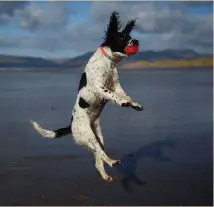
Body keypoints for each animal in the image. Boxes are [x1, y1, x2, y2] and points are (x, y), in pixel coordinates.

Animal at [30, 11, 143, 183]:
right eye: (122, 37)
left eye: (130, 35)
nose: (136, 41)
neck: (108, 62)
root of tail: (71, 126)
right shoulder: (100, 87)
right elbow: (113, 95)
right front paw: (123, 102)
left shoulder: (116, 86)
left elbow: (126, 95)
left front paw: (133, 104)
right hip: (89, 137)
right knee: (100, 154)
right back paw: (112, 162)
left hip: (98, 138)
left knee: (98, 158)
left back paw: (106, 175)